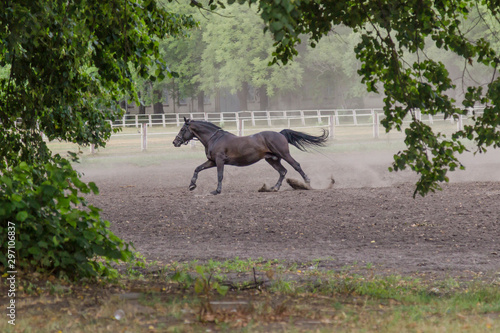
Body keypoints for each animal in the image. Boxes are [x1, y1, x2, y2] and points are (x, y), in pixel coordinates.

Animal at [172, 116, 328, 195]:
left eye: (182, 129)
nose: (175, 142)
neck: (214, 138)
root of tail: (280, 134)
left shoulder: (219, 161)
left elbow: (220, 175)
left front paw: (217, 191)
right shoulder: (212, 161)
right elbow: (197, 169)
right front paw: (192, 185)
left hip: (284, 154)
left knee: (296, 165)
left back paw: (307, 183)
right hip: (272, 159)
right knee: (283, 171)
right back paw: (274, 188)